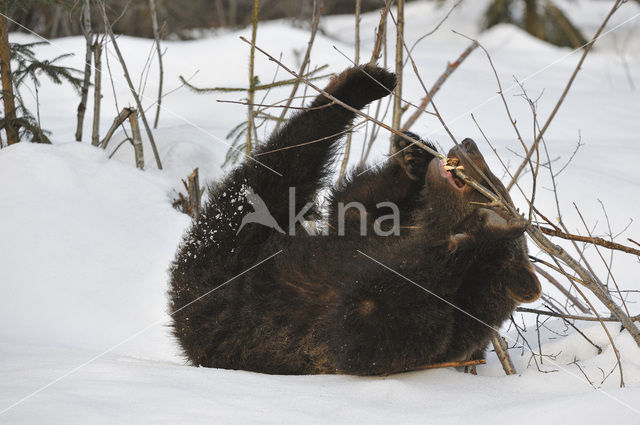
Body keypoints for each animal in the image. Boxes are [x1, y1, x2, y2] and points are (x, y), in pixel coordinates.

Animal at [166, 63, 540, 374]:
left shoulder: (436, 334)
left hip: (216, 271)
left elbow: (362, 332)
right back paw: (368, 81)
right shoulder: (368, 232)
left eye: (494, 184)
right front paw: (413, 157)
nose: (469, 143)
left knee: (267, 175)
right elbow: (353, 204)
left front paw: (478, 236)